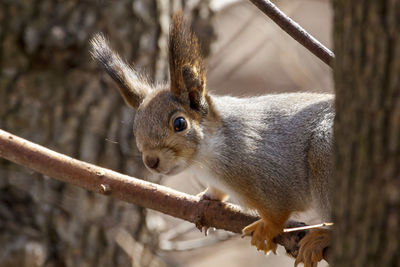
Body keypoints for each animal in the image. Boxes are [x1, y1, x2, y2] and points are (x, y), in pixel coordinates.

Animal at [90, 11, 334, 267]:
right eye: (135, 127)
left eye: (180, 123)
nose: (151, 161)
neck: (207, 160)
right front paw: (207, 197)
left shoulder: (269, 174)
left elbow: (278, 211)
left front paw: (267, 228)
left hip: (324, 155)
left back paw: (323, 236)